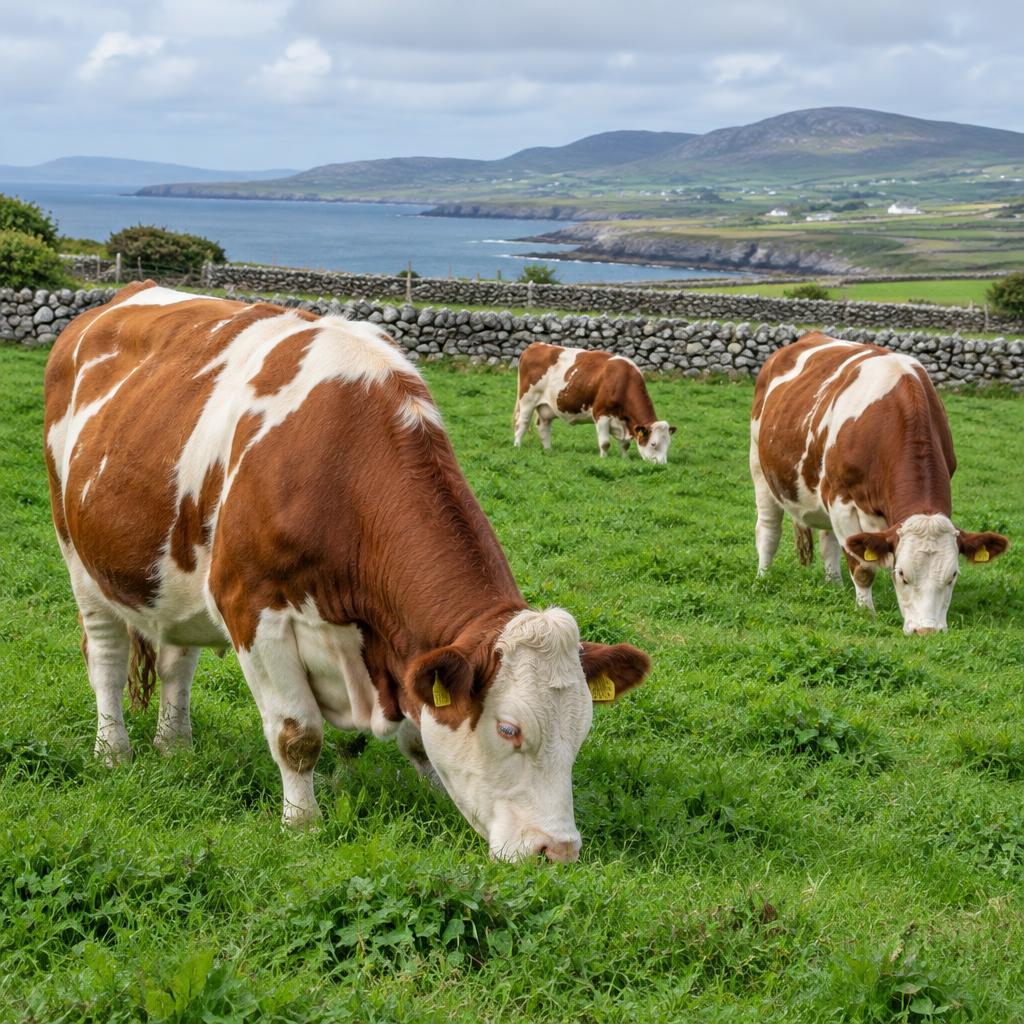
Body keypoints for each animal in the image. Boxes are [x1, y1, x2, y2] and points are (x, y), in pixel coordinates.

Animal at [44, 283, 651, 862]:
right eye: (509, 729)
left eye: (582, 729)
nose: (559, 851)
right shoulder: (250, 607)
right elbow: (297, 735)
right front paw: (302, 824)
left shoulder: (402, 652)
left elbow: (418, 736)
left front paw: (435, 794)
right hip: (79, 558)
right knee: (105, 660)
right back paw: (112, 752)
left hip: (178, 580)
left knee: (176, 664)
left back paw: (175, 747)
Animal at [514, 342, 675, 463]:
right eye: (653, 444)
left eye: (668, 444)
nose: (662, 465)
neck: (624, 380)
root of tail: (535, 345)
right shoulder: (601, 414)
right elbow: (605, 443)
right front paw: (604, 459)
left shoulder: (624, 422)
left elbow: (625, 444)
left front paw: (625, 460)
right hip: (527, 399)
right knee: (522, 423)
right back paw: (517, 446)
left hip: (547, 407)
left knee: (544, 427)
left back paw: (548, 451)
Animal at [750, 332, 1008, 634]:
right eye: (902, 574)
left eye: (952, 575)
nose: (926, 631)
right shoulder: (841, 500)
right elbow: (862, 567)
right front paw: (866, 612)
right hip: (760, 466)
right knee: (769, 530)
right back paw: (764, 577)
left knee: (828, 542)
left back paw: (834, 585)